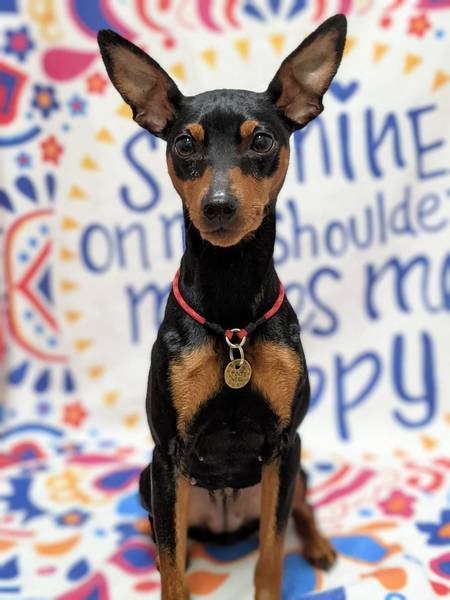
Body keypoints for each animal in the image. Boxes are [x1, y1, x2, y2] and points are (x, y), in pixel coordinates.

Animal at [98, 14, 347, 600]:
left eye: (262, 140)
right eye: (183, 146)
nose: (218, 206)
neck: (232, 316)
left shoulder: (283, 445)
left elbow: (272, 554)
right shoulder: (166, 454)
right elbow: (170, 566)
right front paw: (171, 576)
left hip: (297, 469)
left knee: (299, 512)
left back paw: (320, 546)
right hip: (150, 481)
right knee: (170, 533)